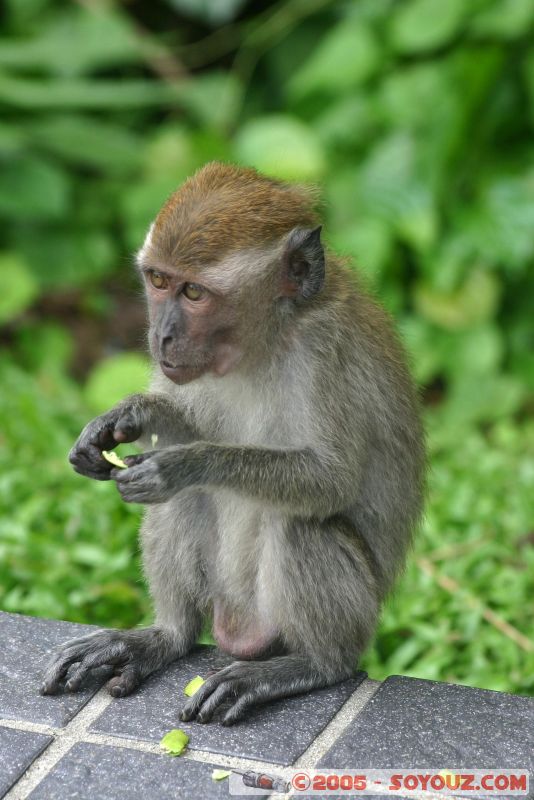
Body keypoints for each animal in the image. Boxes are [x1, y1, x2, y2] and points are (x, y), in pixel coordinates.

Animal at [41, 162, 425, 726]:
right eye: (159, 280)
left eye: (195, 294)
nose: (162, 336)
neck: (263, 340)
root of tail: (239, 630)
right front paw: (125, 417)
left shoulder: (324, 351)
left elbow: (330, 480)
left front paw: (183, 465)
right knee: (185, 509)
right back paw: (165, 637)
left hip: (346, 613)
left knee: (301, 524)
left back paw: (312, 664)